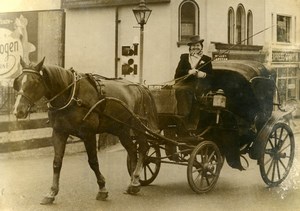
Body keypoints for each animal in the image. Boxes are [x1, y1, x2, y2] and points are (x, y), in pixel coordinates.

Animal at [13, 57, 159, 204]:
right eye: (18, 81)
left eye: (35, 82)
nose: (18, 111)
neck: (72, 95)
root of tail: (139, 86)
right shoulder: (59, 133)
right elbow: (56, 163)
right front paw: (51, 193)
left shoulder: (89, 134)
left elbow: (93, 161)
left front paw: (102, 189)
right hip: (121, 129)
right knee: (132, 150)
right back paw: (133, 183)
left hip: (138, 125)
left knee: (143, 148)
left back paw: (135, 179)